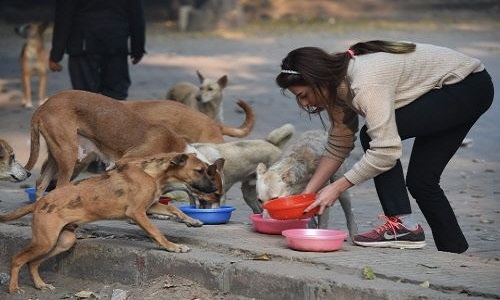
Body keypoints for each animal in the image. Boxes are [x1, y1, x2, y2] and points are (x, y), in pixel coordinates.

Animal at [0, 152, 219, 292]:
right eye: (200, 170)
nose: (216, 189)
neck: (151, 173)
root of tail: (39, 203)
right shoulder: (137, 212)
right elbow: (156, 231)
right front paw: (172, 247)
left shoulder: (150, 206)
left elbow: (174, 209)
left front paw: (192, 221)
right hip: (45, 241)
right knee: (18, 259)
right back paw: (14, 288)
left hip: (63, 241)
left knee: (33, 263)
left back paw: (40, 285)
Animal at [24, 89, 224, 203]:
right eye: (215, 194)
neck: (174, 148)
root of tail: (43, 106)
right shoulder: (125, 163)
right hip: (68, 155)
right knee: (58, 188)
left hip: (58, 155)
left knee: (41, 184)